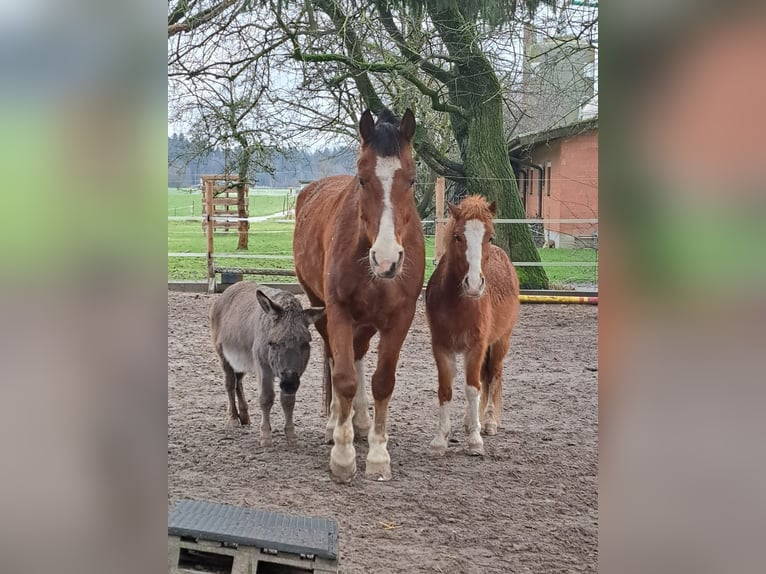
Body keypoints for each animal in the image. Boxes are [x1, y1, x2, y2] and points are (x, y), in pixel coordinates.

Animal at [292, 109, 426, 486]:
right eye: (363, 180)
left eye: (411, 180)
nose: (387, 259)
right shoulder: (338, 312)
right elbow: (344, 378)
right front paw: (343, 455)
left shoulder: (400, 318)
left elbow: (382, 381)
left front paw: (378, 455)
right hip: (323, 310)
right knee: (337, 358)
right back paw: (335, 423)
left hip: (366, 322)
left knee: (360, 354)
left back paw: (361, 422)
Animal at [426, 198, 520, 460]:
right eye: (458, 236)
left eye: (489, 236)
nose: (475, 284)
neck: (460, 303)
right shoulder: (441, 347)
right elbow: (446, 390)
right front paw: (440, 441)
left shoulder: (476, 347)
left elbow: (472, 389)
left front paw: (475, 442)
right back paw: (470, 421)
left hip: (500, 341)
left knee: (493, 375)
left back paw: (488, 422)